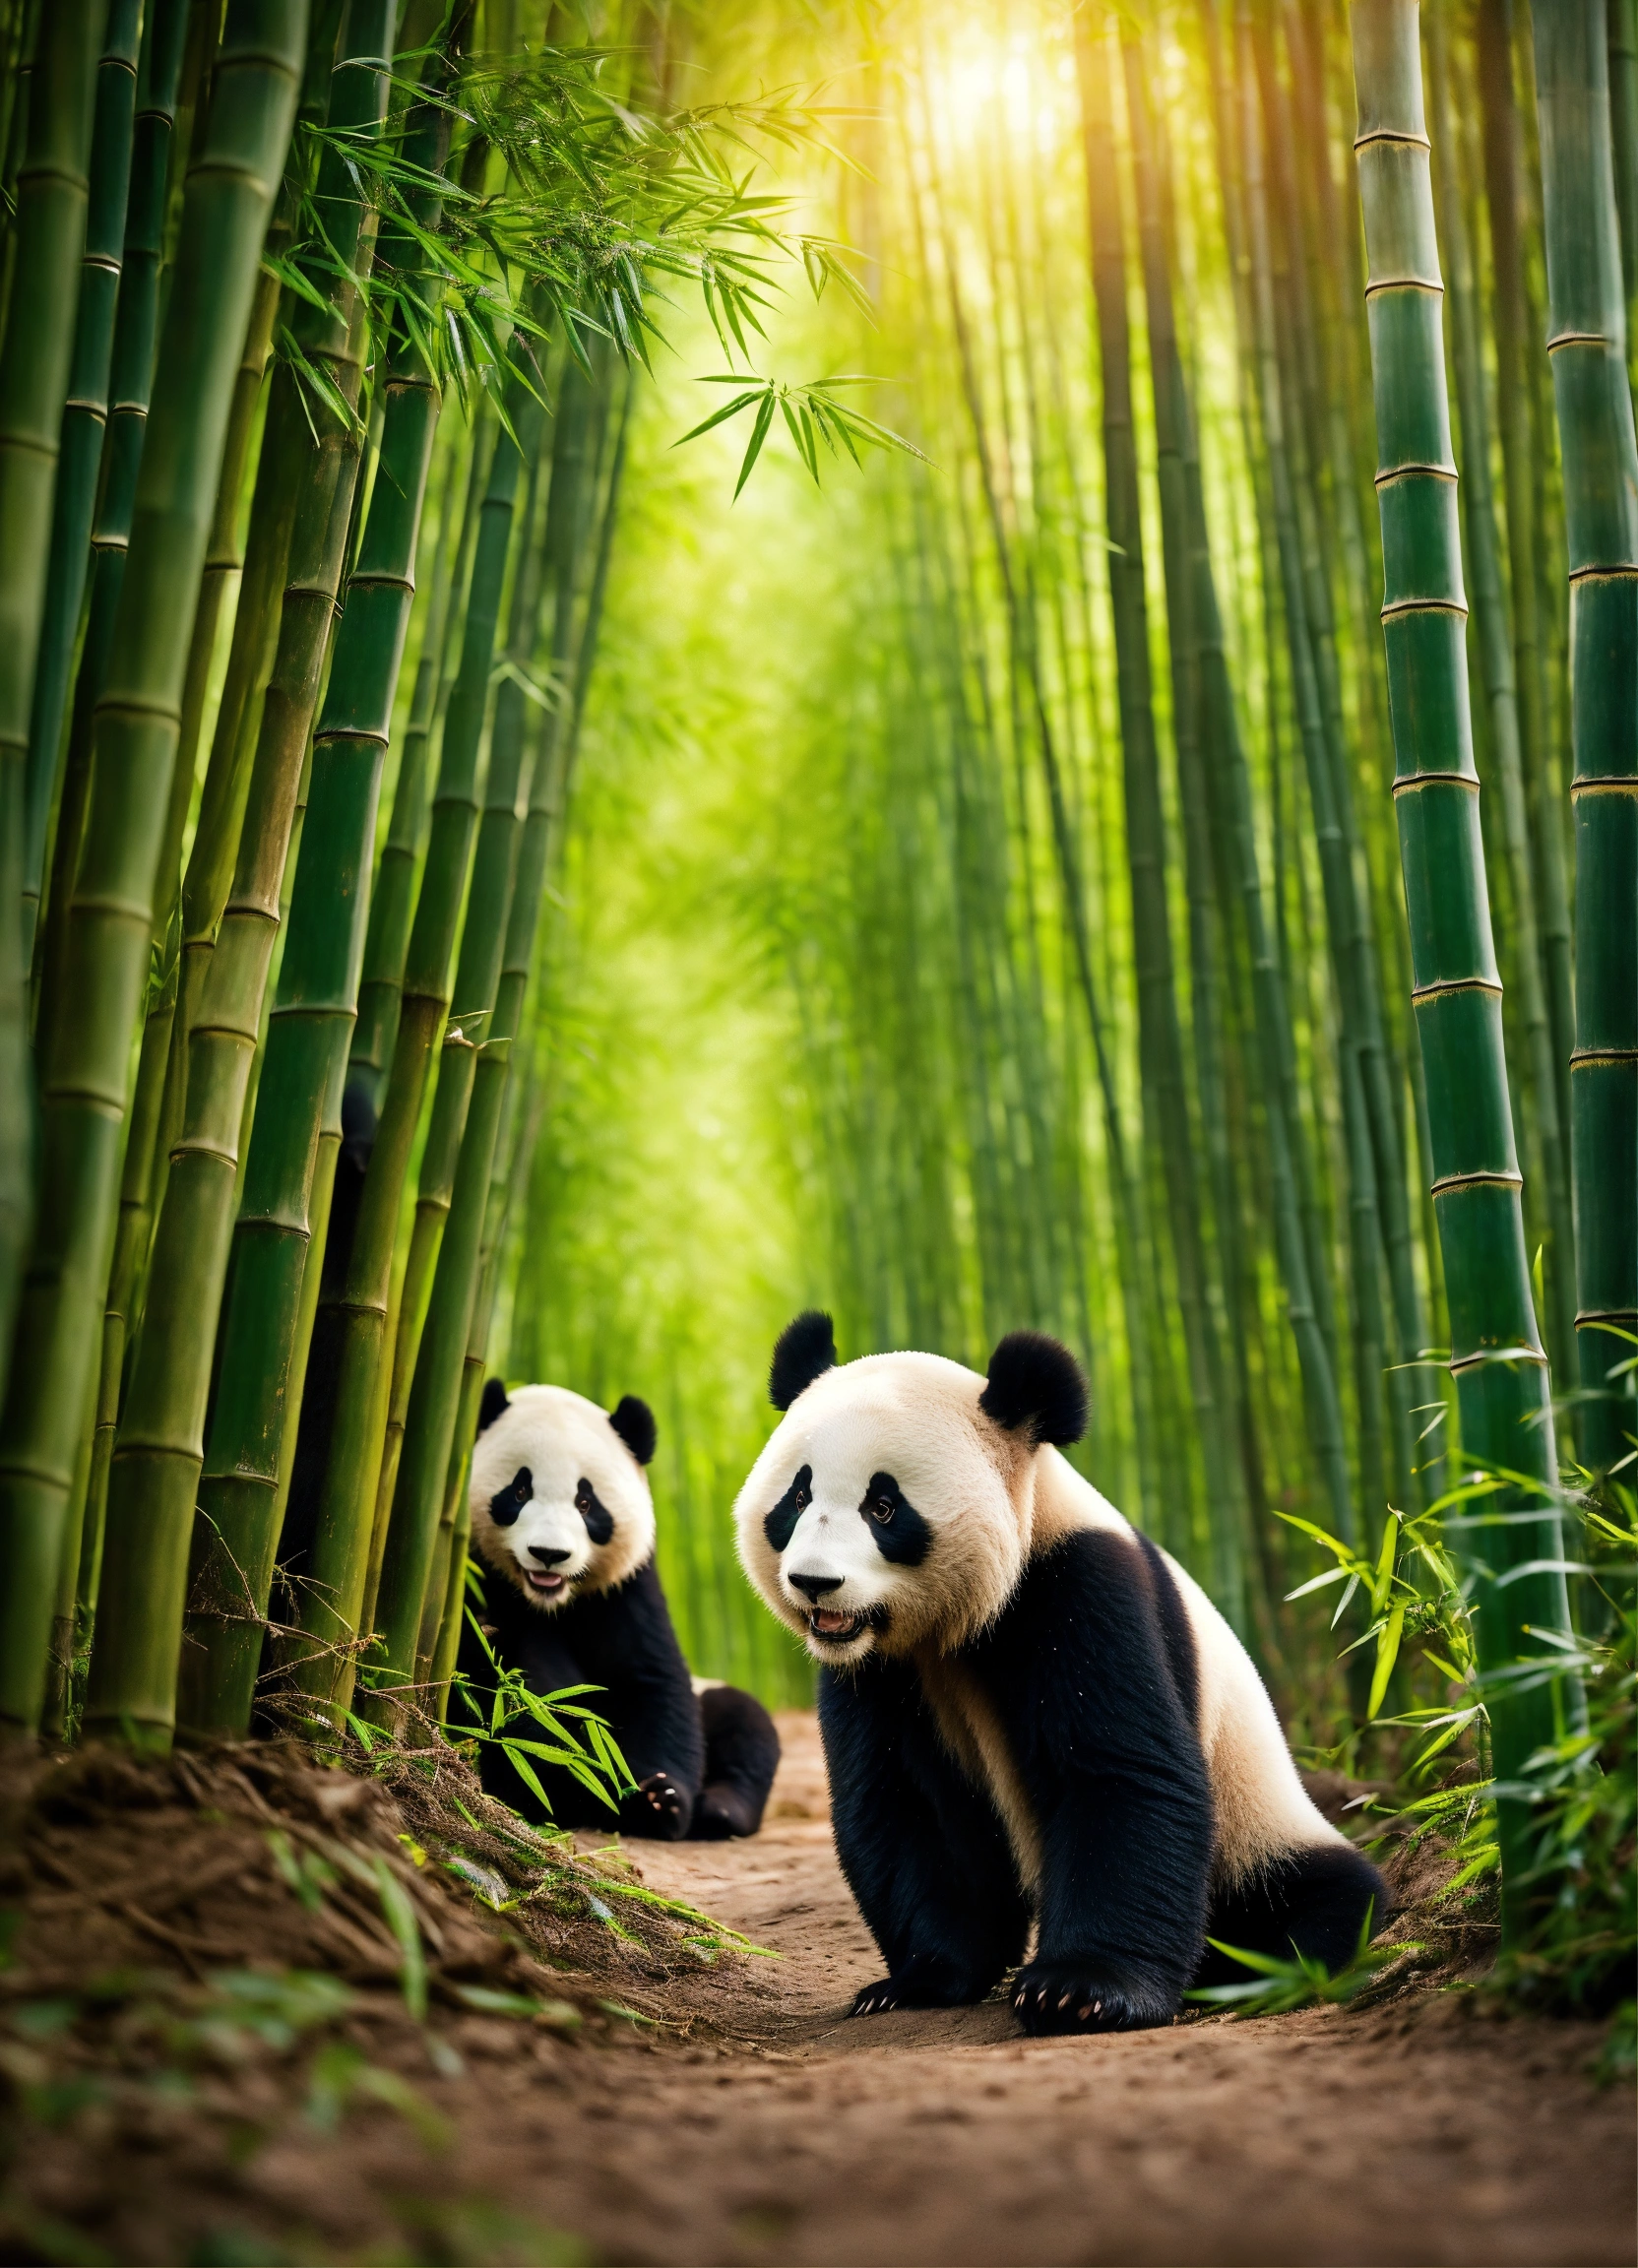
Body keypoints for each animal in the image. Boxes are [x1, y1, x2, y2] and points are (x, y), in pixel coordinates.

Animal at [455, 1379, 780, 1841]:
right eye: (519, 1491)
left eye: (586, 1503)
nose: (549, 1555)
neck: (550, 1602)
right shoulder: (473, 1583)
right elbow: (521, 1689)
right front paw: (571, 1776)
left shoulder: (626, 1587)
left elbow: (649, 1676)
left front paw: (655, 1800)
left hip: (712, 1696)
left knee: (745, 1726)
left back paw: (719, 1809)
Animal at [734, 1312, 1387, 2036]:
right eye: (797, 1497)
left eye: (883, 1507)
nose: (814, 1583)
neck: (955, 1626)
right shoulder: (879, 1669)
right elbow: (905, 1801)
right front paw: (919, 1979)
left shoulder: (1079, 1585)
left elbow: (1118, 1773)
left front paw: (1080, 1991)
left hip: (1256, 1823)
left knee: (1317, 1899)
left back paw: (1247, 1971)